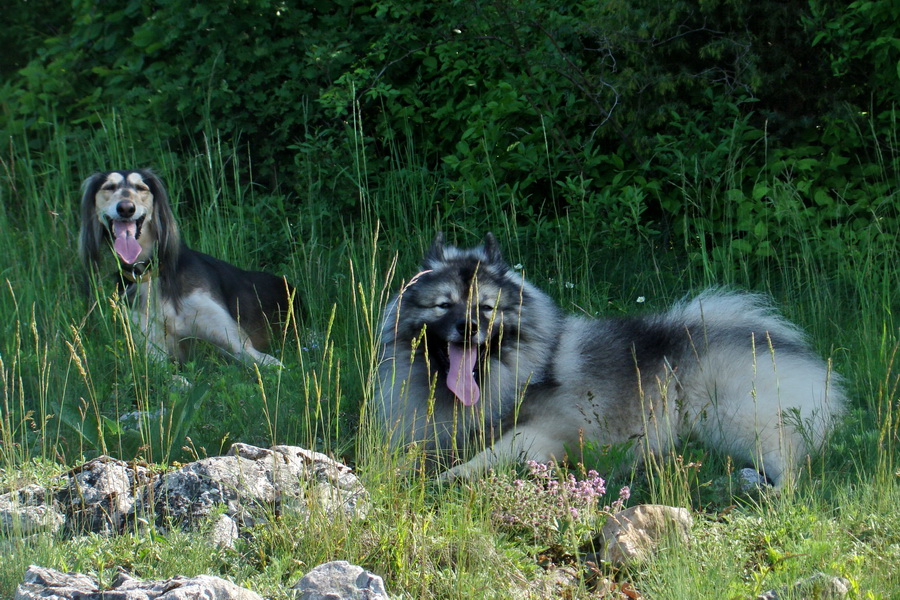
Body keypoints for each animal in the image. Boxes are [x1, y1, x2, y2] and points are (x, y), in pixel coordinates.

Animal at [77, 168, 296, 366]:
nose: (125, 208)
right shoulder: (153, 354)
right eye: (109, 187)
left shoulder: (242, 347)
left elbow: (270, 364)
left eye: (141, 187)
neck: (150, 274)